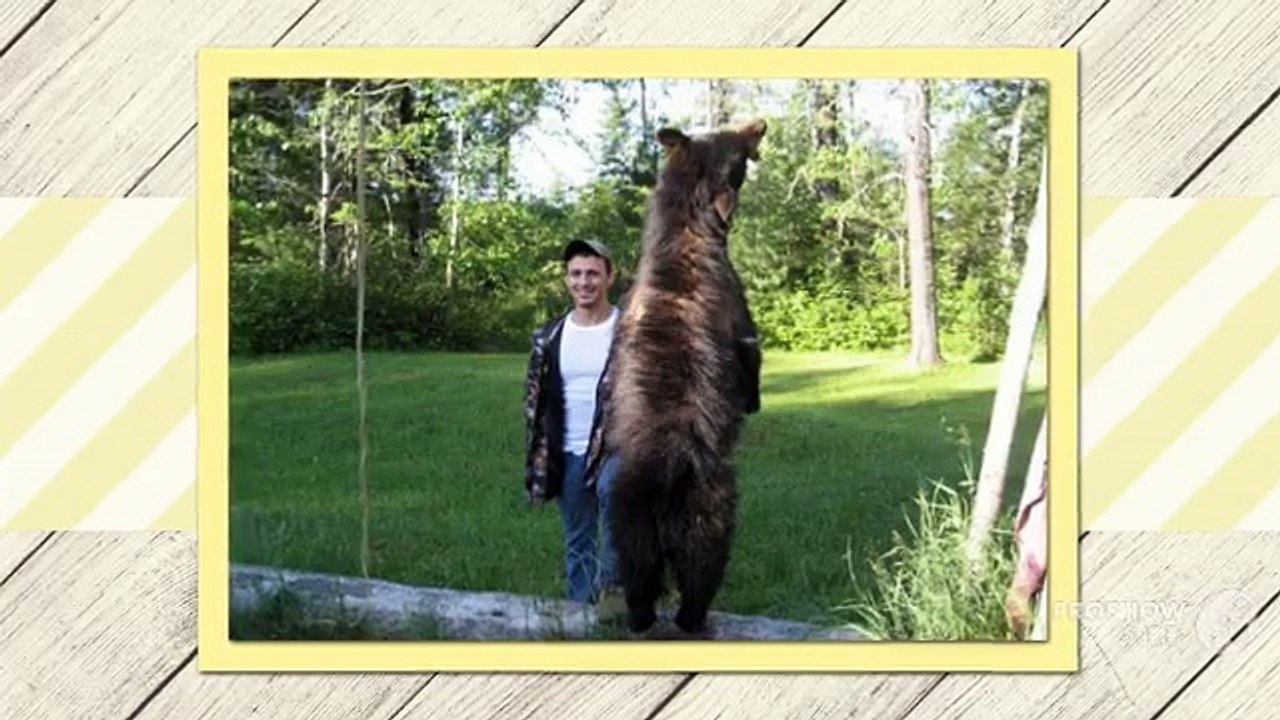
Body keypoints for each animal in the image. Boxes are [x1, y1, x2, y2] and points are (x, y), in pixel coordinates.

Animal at [604, 118, 766, 635]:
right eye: (734, 143)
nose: (761, 122)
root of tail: (667, 468)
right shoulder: (736, 310)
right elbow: (751, 354)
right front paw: (754, 397)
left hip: (628, 514)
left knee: (636, 572)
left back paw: (638, 617)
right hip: (708, 506)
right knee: (702, 567)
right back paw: (694, 617)